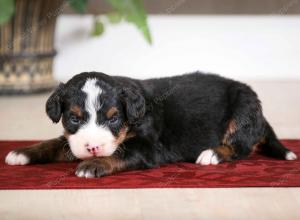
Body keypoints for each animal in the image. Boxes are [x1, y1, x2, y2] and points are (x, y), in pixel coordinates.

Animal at [4, 71, 298, 178]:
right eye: (74, 118)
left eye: (113, 118)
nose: (93, 148)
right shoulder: (72, 137)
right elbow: (56, 143)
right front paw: (22, 152)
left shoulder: (149, 146)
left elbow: (124, 151)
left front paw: (93, 164)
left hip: (242, 109)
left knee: (240, 147)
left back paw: (211, 154)